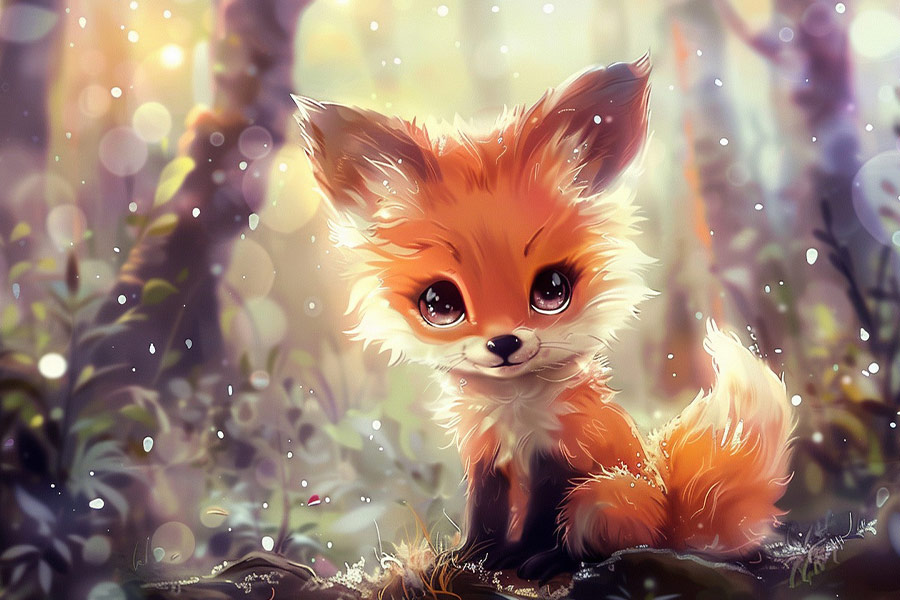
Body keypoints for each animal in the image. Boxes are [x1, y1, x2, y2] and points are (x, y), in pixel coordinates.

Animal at [292, 55, 795, 580]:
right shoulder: (485, 456)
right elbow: (484, 515)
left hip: (604, 495)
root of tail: (668, 518)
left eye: (552, 290)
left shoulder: (561, 456)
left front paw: (520, 560)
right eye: (441, 304)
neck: (514, 413)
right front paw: (469, 558)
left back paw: (557, 561)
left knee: (595, 541)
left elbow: (541, 518)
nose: (504, 343)